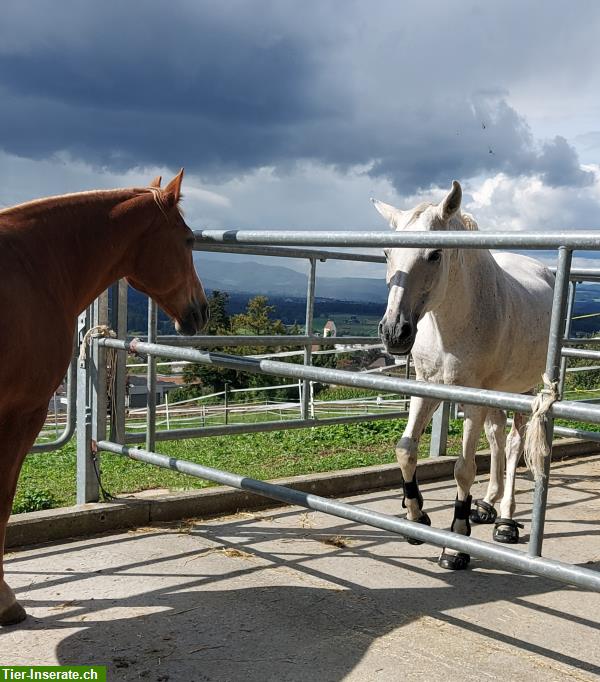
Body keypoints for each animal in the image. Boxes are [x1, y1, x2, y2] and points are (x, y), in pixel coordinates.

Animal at [372, 181, 556, 568]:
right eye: (386, 252)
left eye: (434, 255)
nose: (394, 332)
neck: (454, 320)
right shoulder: (427, 388)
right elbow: (405, 450)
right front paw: (417, 518)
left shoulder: (472, 398)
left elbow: (464, 468)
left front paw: (455, 545)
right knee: (497, 435)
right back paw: (485, 505)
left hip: (525, 388)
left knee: (514, 442)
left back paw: (505, 520)